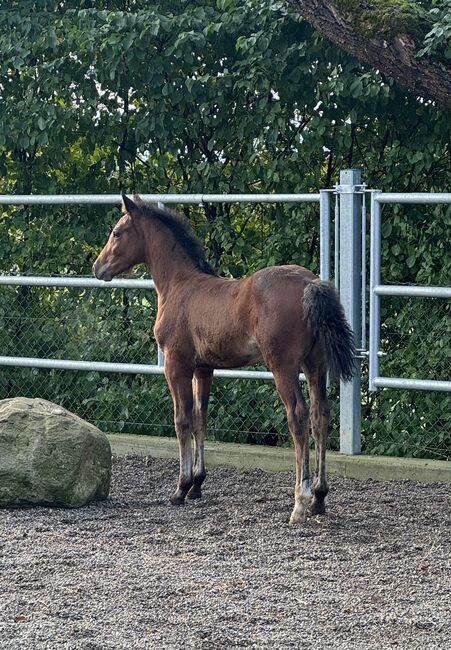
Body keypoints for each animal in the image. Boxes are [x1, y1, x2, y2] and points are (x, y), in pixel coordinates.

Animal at [94, 192, 356, 520]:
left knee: (298, 416)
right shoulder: (204, 368)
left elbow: (182, 419)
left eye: (117, 232)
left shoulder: (176, 365)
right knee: (321, 415)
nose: (97, 268)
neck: (180, 285)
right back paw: (319, 497)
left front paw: (180, 488)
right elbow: (200, 418)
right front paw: (197, 484)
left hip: (283, 367)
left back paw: (300, 501)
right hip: (315, 365)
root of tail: (311, 283)